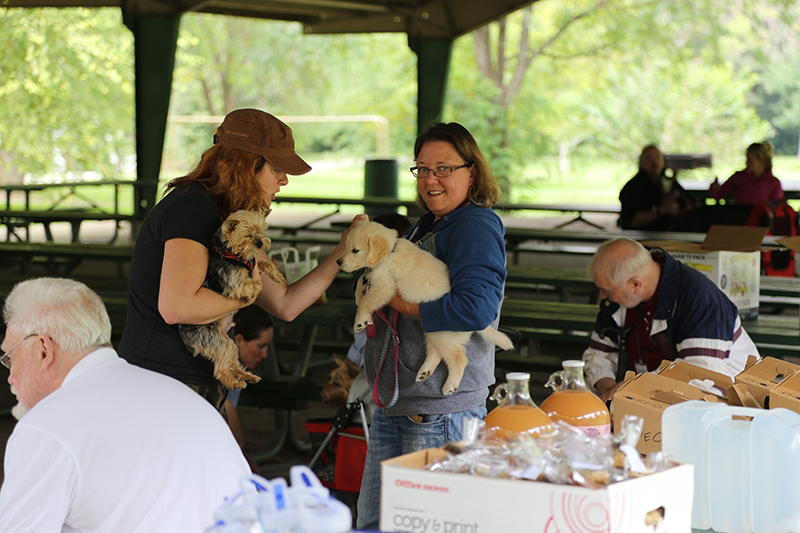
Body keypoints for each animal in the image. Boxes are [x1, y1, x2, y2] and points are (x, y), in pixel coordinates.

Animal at [338, 220, 512, 394]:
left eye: (355, 250)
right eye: (345, 246)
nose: (338, 262)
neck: (390, 253)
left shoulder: (385, 286)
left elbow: (368, 300)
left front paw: (360, 320)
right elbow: (362, 279)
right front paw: (359, 297)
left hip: (444, 335)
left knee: (458, 358)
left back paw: (450, 385)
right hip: (433, 332)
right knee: (436, 353)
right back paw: (424, 371)